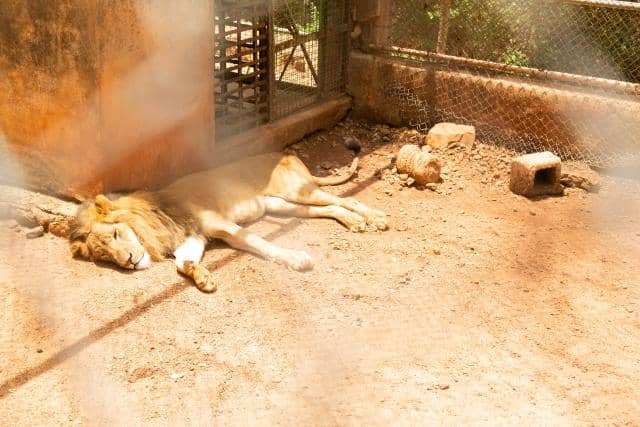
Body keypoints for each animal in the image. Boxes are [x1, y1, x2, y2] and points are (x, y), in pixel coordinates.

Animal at [70, 152, 390, 292]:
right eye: (105, 257)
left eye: (115, 234)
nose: (128, 262)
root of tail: (287, 153)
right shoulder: (193, 239)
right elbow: (182, 263)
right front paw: (202, 277)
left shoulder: (221, 225)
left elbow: (259, 243)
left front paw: (297, 260)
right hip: (281, 205)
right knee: (331, 208)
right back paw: (355, 222)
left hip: (297, 190)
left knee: (345, 200)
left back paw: (374, 218)